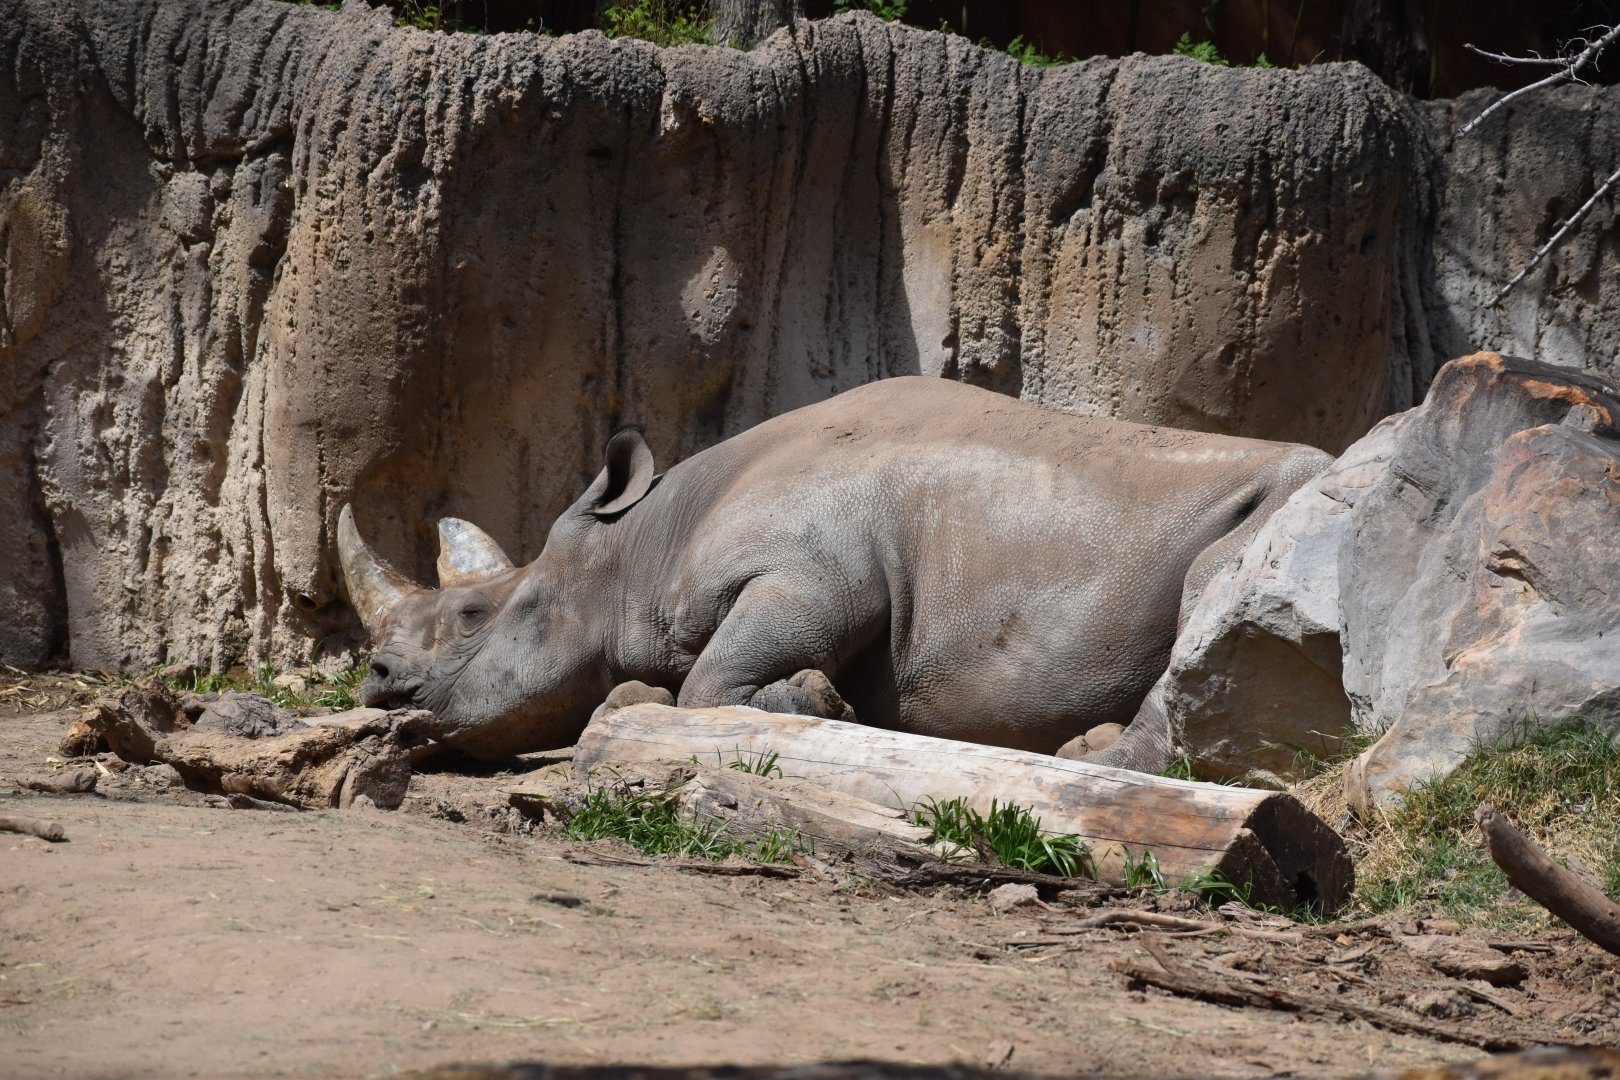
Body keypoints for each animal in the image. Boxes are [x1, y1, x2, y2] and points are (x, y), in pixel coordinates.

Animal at [339, 376, 1329, 770]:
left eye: (472, 616)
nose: (376, 679)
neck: (634, 554)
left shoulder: (817, 573)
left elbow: (709, 681)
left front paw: (820, 703)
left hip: (1281, 520)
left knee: (1217, 600)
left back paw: (1088, 757)